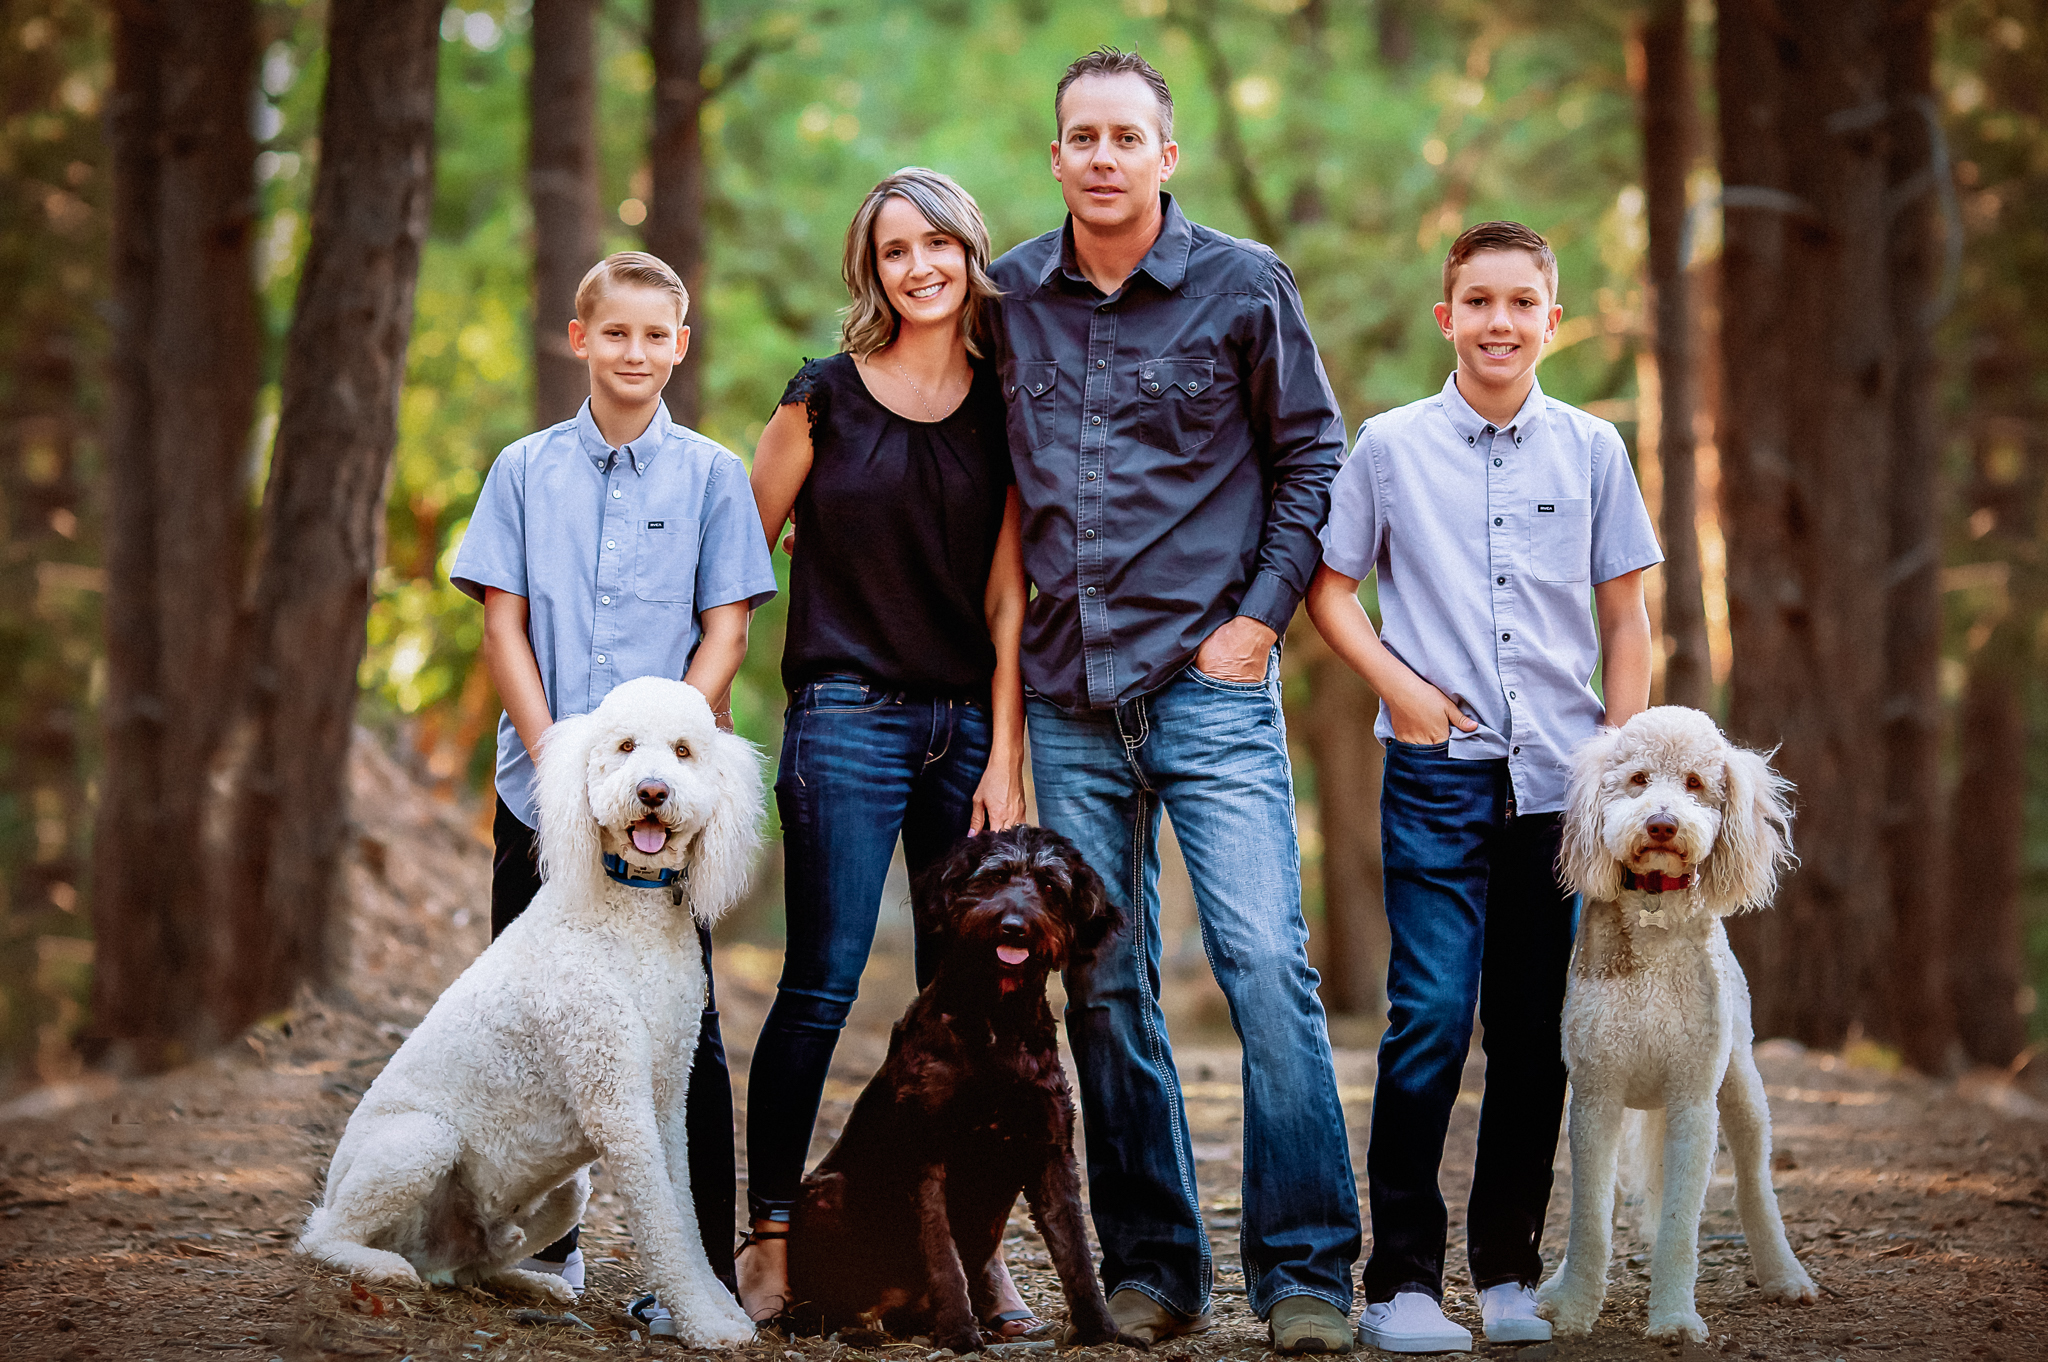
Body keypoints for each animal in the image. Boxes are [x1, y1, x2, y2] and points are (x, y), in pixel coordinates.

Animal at [296, 675, 761, 1343]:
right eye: (625, 746)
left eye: (683, 752)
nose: (652, 791)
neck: (632, 908)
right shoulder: (618, 1104)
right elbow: (664, 1228)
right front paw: (705, 1325)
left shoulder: (666, 1098)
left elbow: (686, 1216)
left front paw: (719, 1311)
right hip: (419, 1139)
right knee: (325, 1237)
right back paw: (380, 1267)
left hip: (566, 1194)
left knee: (474, 1266)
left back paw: (530, 1283)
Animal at [786, 819, 1138, 1351]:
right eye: (994, 878)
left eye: (1050, 887)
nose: (1014, 926)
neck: (996, 1017)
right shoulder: (927, 1153)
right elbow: (942, 1255)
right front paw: (958, 1332)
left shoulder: (1051, 1151)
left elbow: (1075, 1249)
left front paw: (1101, 1328)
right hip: (824, 1193)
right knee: (825, 1303)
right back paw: (856, 1324)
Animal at [1540, 704, 1818, 1343]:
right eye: (1638, 779)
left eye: (1694, 783)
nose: (1662, 825)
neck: (1652, 914)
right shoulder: (1594, 1096)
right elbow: (1590, 1218)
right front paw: (1574, 1308)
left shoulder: (1694, 1101)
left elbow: (1679, 1224)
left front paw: (1673, 1318)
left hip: (1742, 1090)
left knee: (1755, 1186)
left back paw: (1785, 1275)